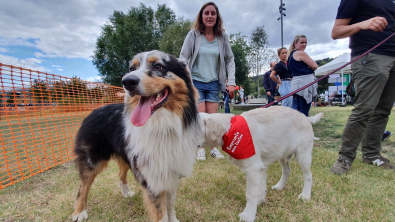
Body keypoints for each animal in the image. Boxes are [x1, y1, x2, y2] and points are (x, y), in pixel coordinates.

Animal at [72, 50, 204, 222]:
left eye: (158, 66)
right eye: (131, 68)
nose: (127, 81)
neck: (162, 125)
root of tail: (94, 110)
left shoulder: (172, 171)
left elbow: (170, 205)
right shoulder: (152, 178)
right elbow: (161, 213)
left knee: (121, 173)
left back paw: (126, 192)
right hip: (92, 159)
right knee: (83, 186)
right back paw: (79, 212)